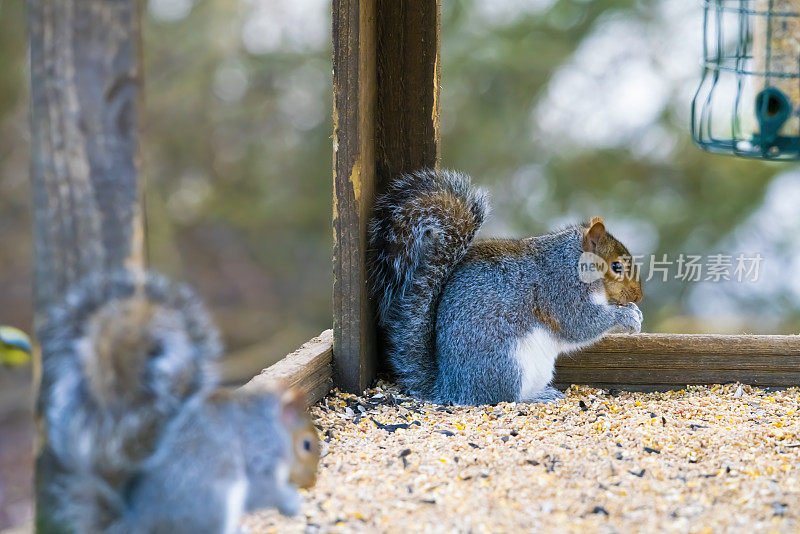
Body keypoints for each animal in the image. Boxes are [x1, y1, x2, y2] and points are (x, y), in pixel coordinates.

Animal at [36, 272, 318, 534]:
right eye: (306, 445)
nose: (311, 483)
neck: (272, 424)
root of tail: (135, 525)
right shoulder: (259, 451)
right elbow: (263, 489)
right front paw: (291, 503)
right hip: (213, 500)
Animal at [368, 171, 644, 406]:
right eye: (616, 266)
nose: (639, 296)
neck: (572, 262)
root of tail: (452, 388)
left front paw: (635, 312)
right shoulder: (560, 290)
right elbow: (581, 324)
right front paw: (626, 316)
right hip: (509, 365)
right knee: (505, 397)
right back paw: (535, 398)